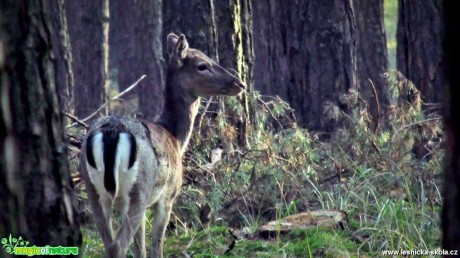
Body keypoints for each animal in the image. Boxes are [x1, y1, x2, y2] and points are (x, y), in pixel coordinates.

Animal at [80, 33, 244, 256]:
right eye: (202, 65)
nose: (239, 84)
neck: (175, 138)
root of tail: (111, 132)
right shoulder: (167, 196)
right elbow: (156, 247)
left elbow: (140, 249)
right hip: (138, 190)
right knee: (118, 246)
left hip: (93, 191)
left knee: (109, 243)